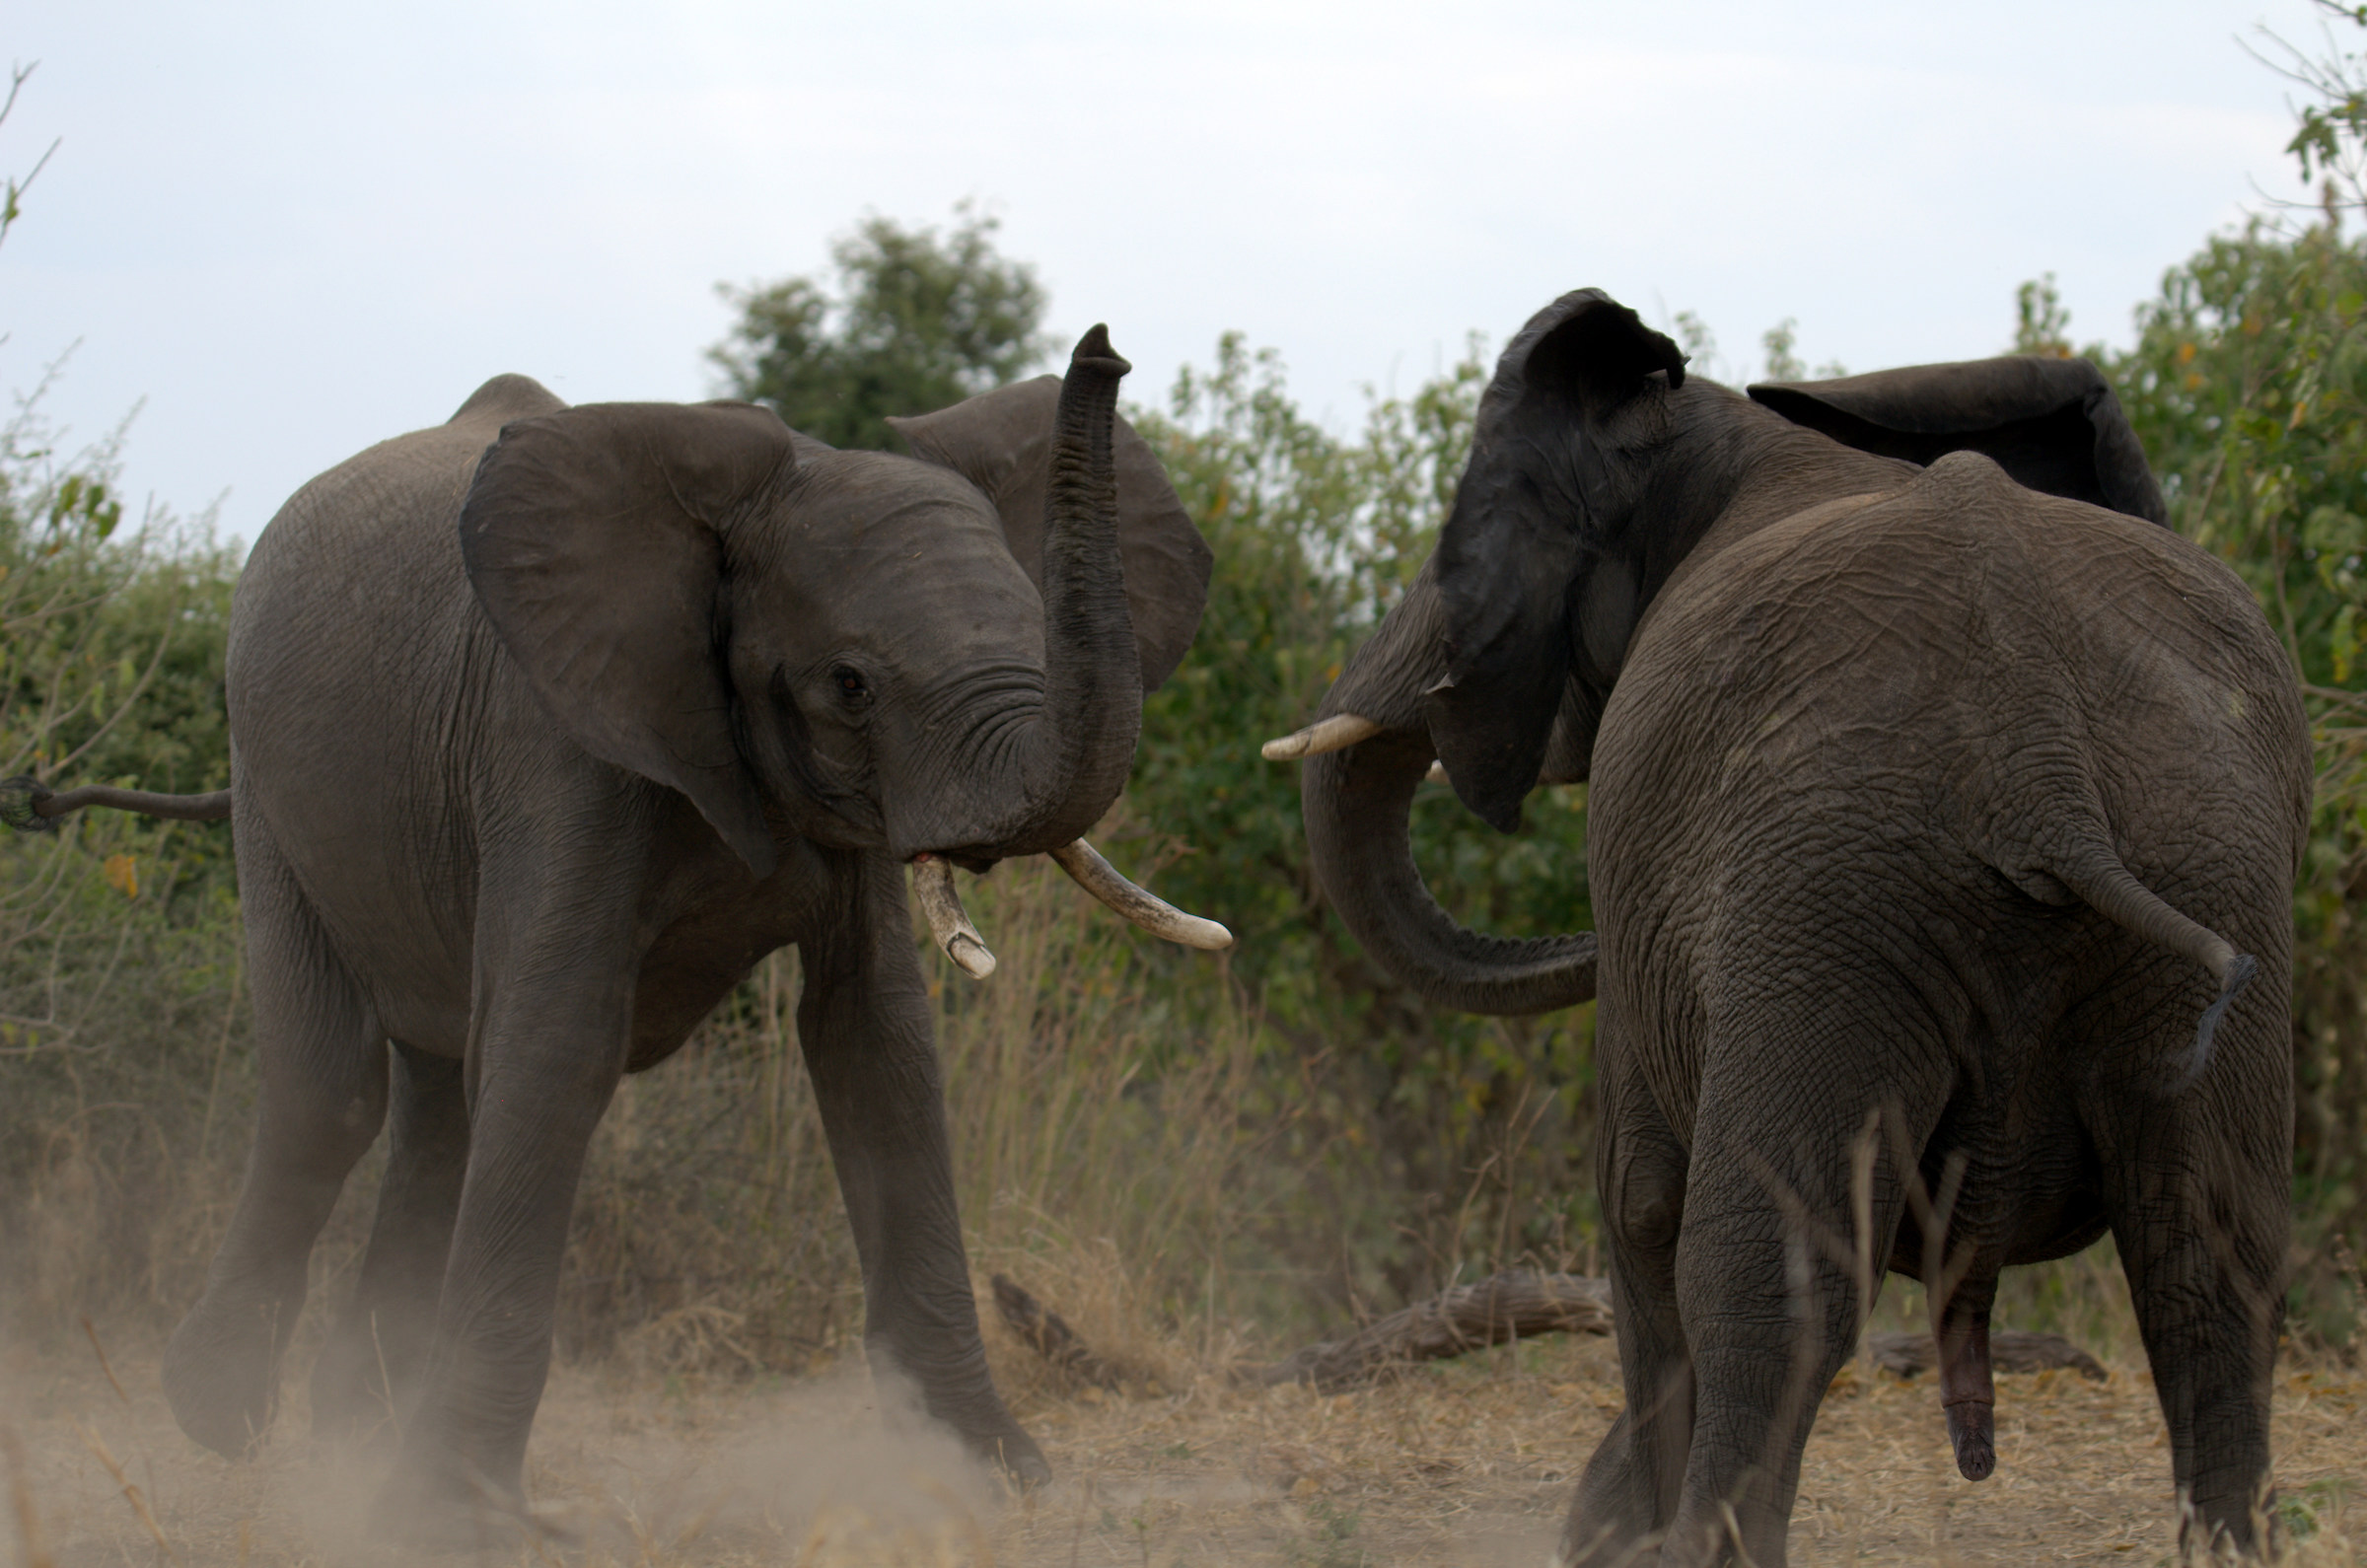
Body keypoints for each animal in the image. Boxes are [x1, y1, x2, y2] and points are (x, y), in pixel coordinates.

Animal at [5, 327, 1231, 1540]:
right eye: (849, 684)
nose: (1104, 350)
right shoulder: (557, 748)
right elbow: (560, 1046)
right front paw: (460, 1516)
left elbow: (876, 1047)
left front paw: (989, 1480)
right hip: (265, 778)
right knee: (332, 1093)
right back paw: (220, 1417)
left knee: (441, 1099)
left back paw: (354, 1430)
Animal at [1265, 290, 2309, 1565]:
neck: (1711, 431)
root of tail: (2039, 749)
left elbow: (1638, 1200)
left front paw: (1617, 1535)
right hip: (2202, 854)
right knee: (2208, 1269)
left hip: (1829, 890)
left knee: (1764, 1275)